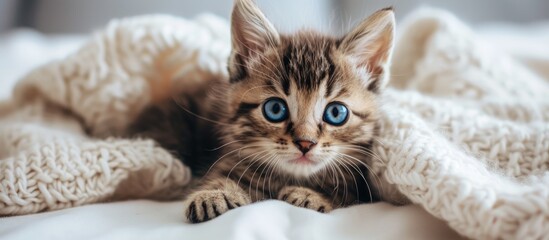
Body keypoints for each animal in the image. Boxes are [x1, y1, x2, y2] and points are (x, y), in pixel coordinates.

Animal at [130, 0, 394, 223]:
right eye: (275, 109)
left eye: (336, 113)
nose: (305, 143)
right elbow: (222, 176)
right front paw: (213, 194)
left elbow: (344, 192)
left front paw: (313, 195)